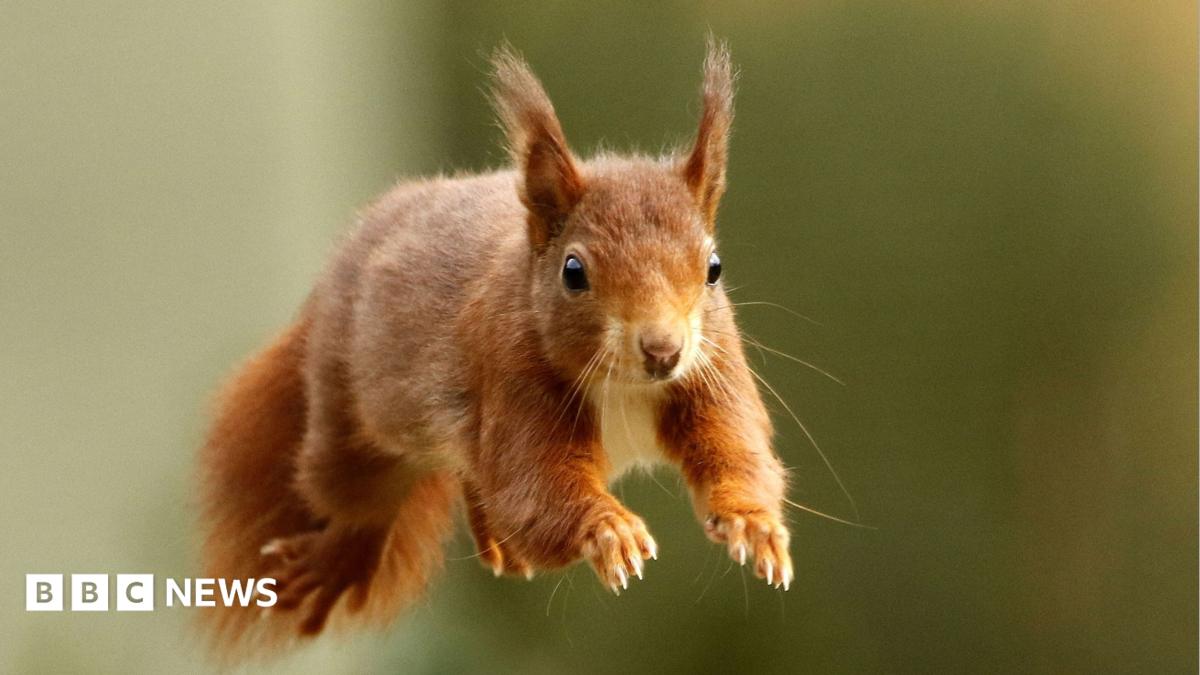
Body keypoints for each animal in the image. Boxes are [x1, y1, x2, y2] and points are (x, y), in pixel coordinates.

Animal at [198, 40, 790, 658]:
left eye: (714, 268)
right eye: (573, 272)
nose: (662, 349)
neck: (624, 387)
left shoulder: (712, 370)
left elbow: (737, 450)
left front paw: (754, 523)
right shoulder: (513, 374)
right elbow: (535, 491)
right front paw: (609, 530)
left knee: (473, 476)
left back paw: (495, 543)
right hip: (346, 419)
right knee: (363, 496)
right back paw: (337, 560)